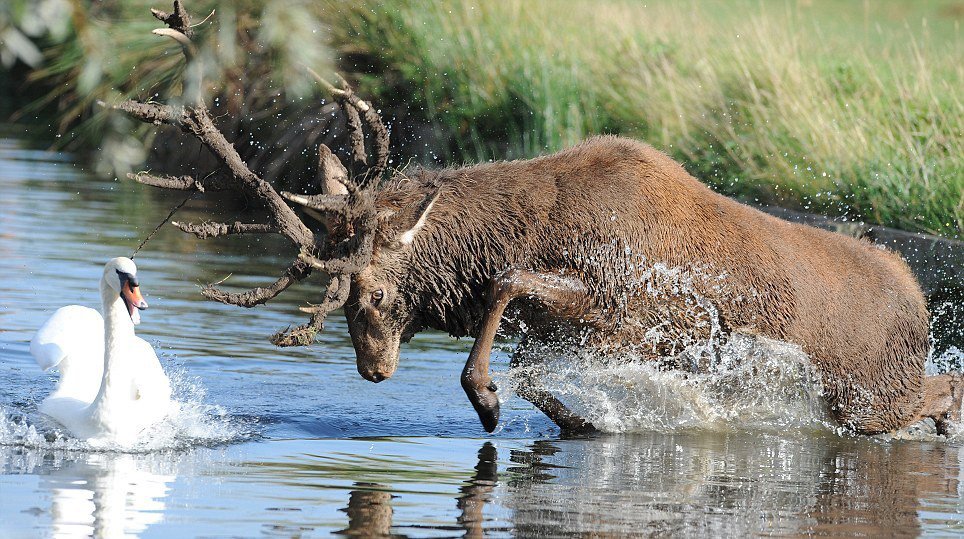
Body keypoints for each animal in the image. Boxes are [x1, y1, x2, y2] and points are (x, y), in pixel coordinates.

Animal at [116, 2, 960, 436]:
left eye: (375, 294)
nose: (373, 368)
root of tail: (920, 301)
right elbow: (540, 375)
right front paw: (570, 416)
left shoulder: (631, 311)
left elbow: (507, 295)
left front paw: (486, 397)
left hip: (868, 394)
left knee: (942, 386)